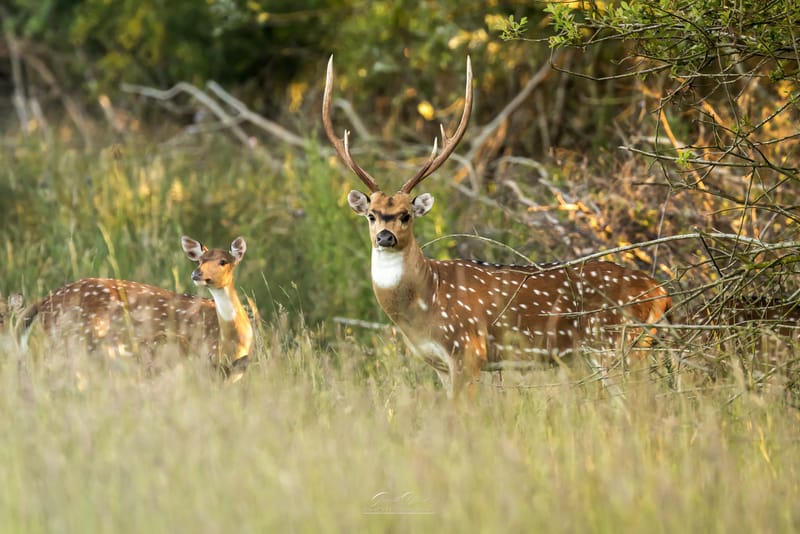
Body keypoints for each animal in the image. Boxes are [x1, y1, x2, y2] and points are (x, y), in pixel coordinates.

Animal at [15, 236, 253, 381]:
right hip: (72, 341)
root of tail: (44, 301)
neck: (234, 340)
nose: (197, 274)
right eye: (200, 261)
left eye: (223, 261)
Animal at [323, 56, 673, 397]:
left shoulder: (467, 348)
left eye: (407, 214)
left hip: (618, 342)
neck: (426, 302)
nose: (385, 237)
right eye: (371, 214)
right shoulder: (438, 364)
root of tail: (661, 292)